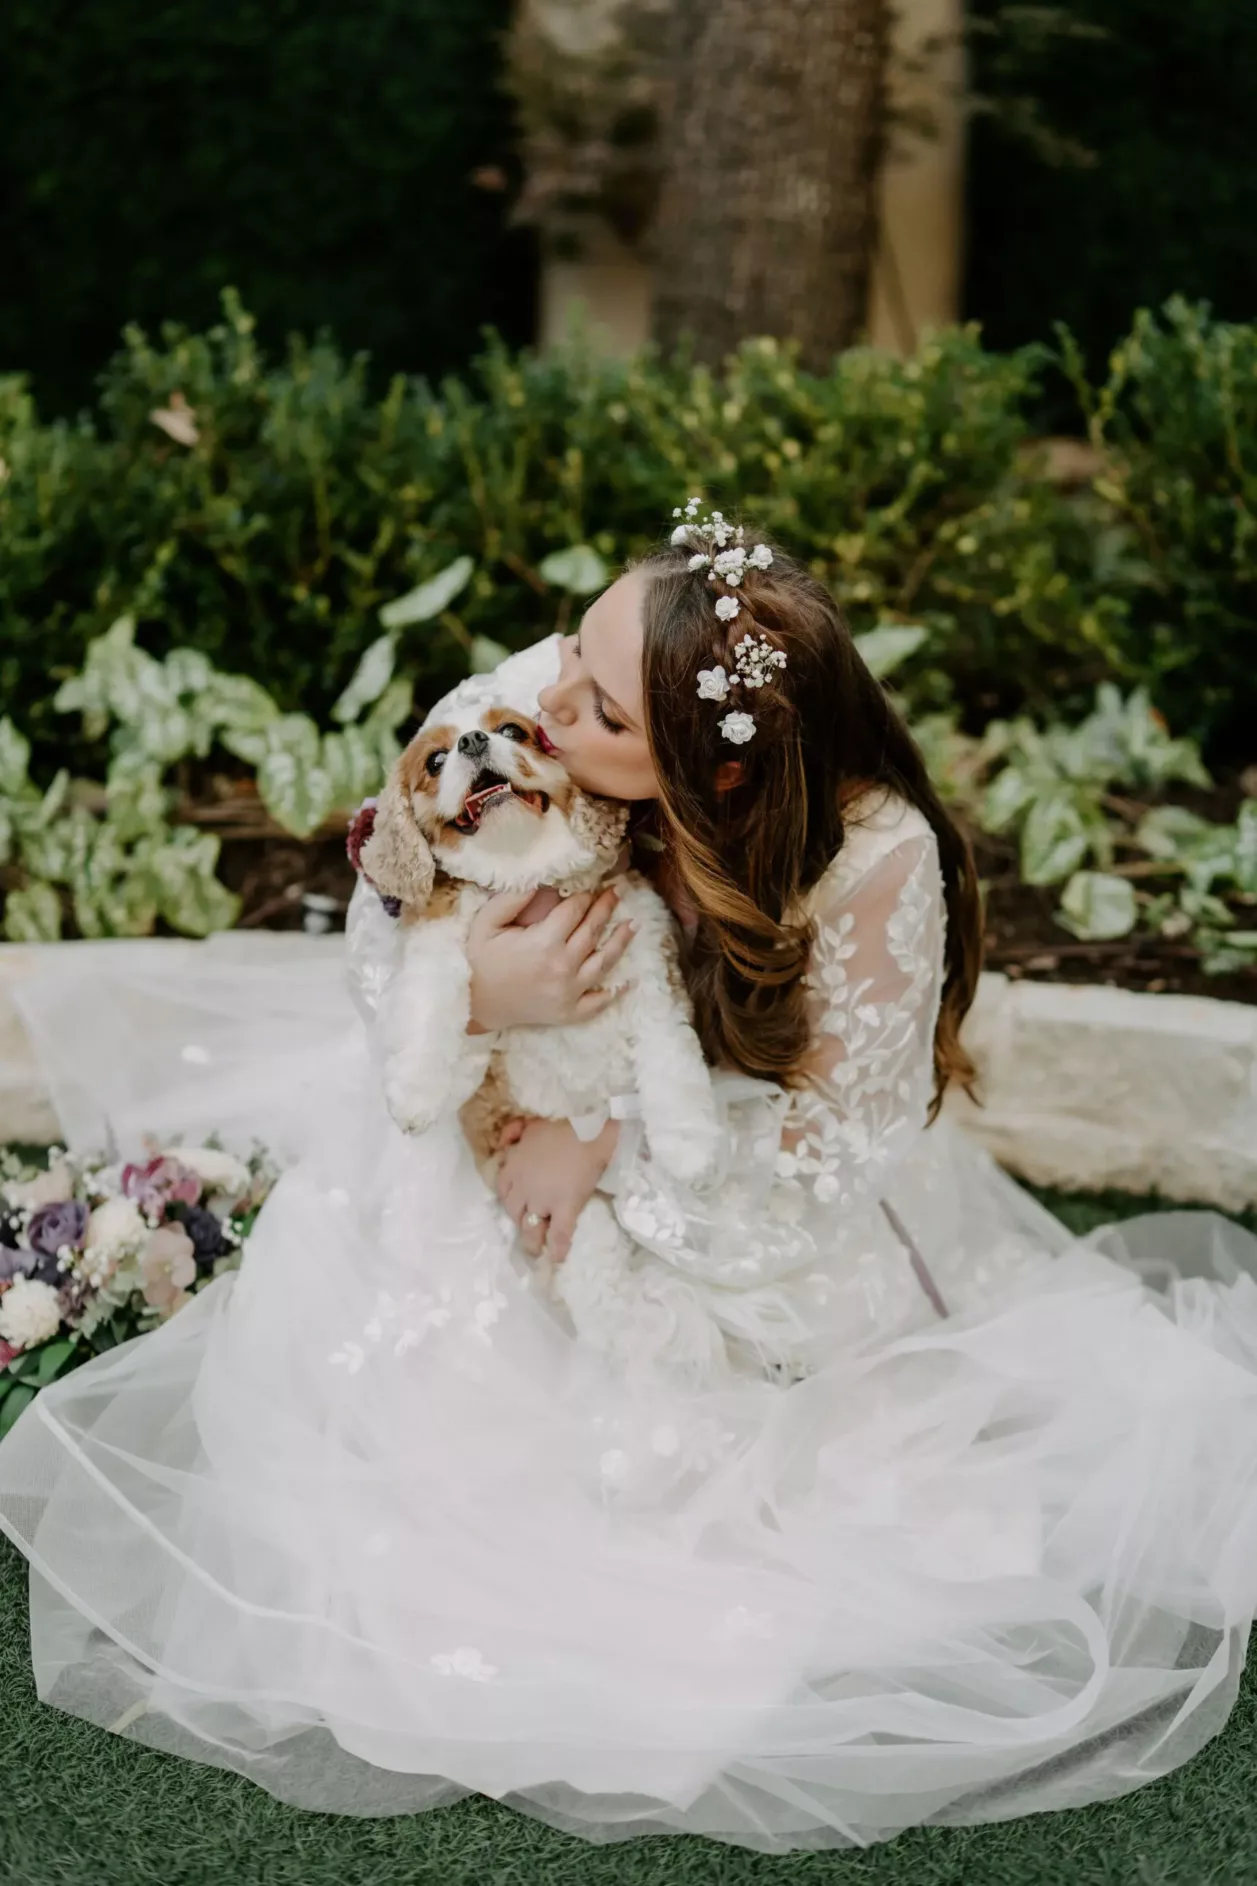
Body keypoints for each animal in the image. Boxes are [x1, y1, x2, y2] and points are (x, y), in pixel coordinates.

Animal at [354, 701, 724, 1380]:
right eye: (435, 761)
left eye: (512, 732)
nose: (474, 742)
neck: (526, 877)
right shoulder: (442, 941)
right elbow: (430, 1001)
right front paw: (414, 1092)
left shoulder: (650, 962)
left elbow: (672, 1060)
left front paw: (691, 1149)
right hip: (570, 1217)